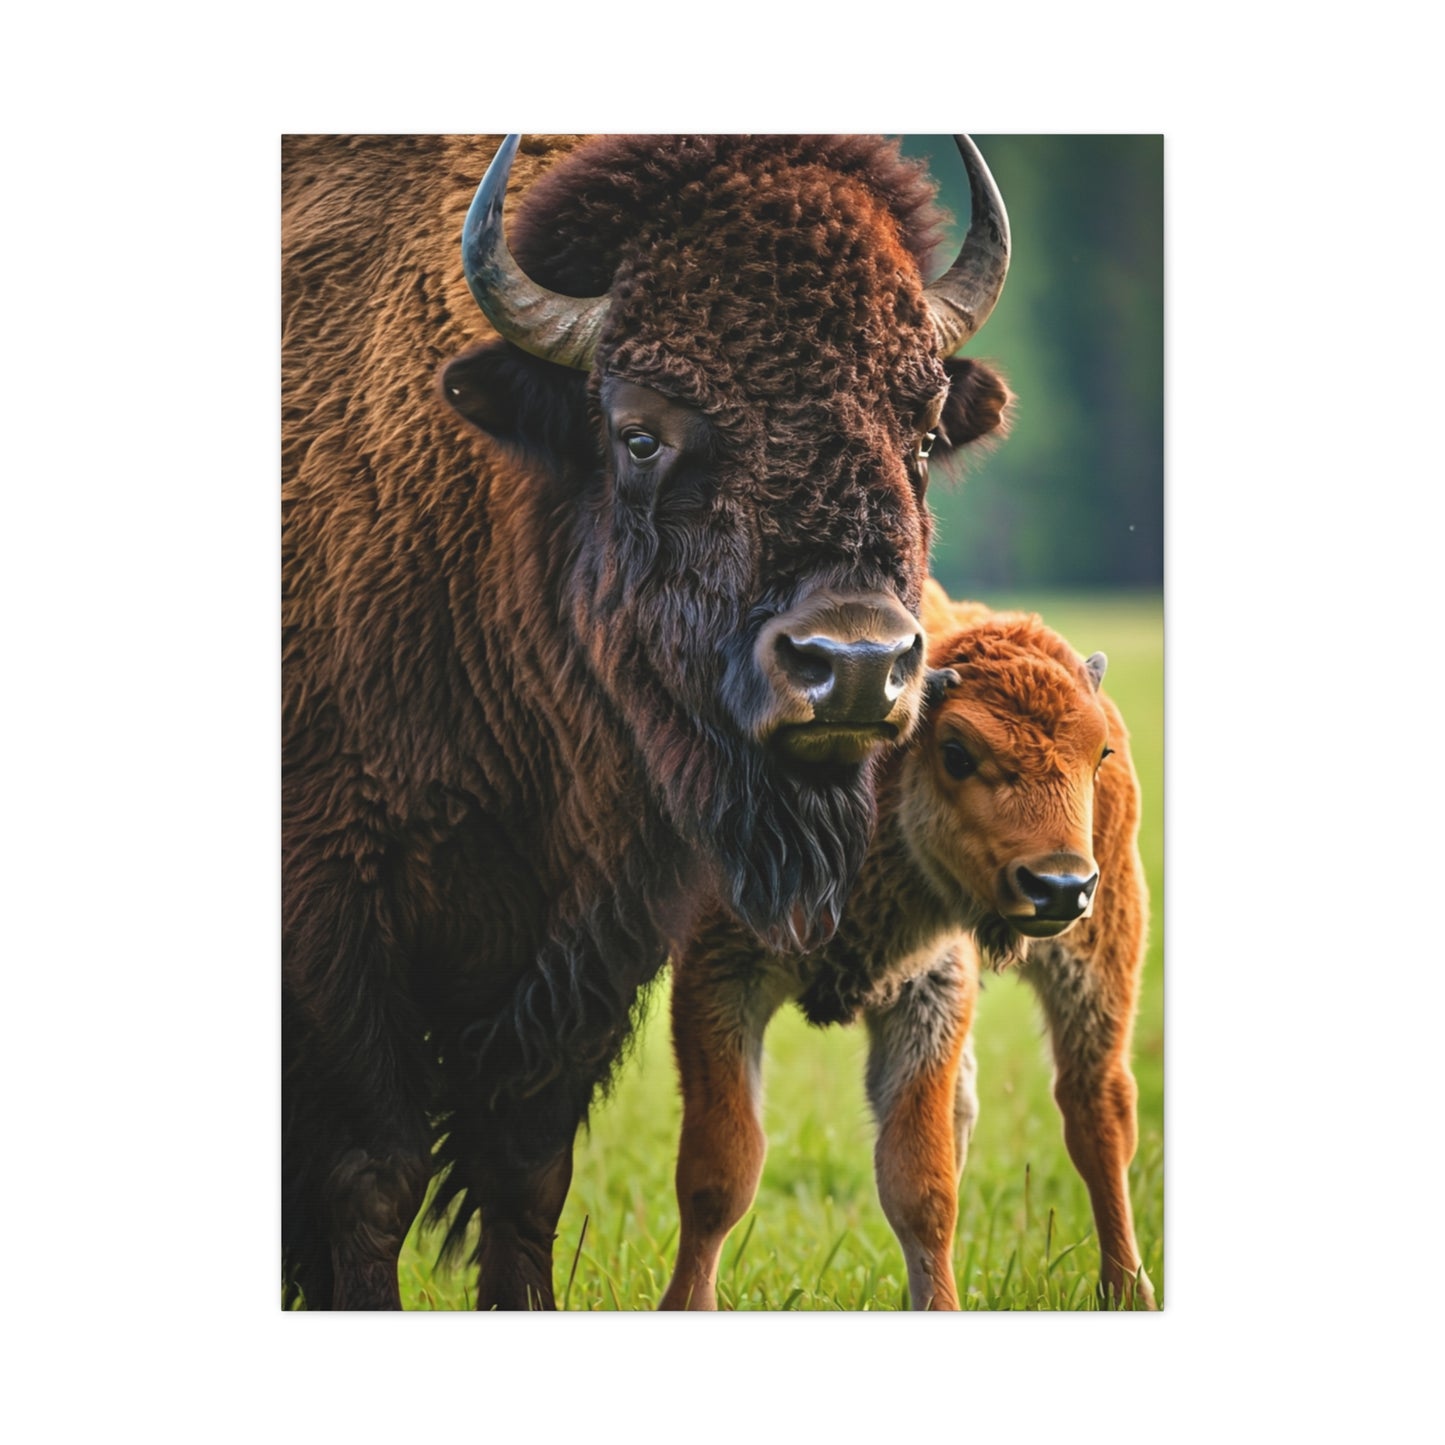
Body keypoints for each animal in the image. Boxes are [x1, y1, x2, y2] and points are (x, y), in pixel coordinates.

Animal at [282, 135, 1014, 1309]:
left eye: (921, 427)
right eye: (637, 435)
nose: (855, 665)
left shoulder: (591, 935)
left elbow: (525, 1167)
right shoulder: (334, 921)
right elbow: (372, 1171)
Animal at [661, 580, 1156, 1310]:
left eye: (1098, 755)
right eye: (955, 751)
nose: (1060, 885)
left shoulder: (926, 988)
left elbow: (920, 1186)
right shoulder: (718, 975)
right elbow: (719, 1169)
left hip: (1099, 951)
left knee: (1096, 1109)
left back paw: (1127, 1290)